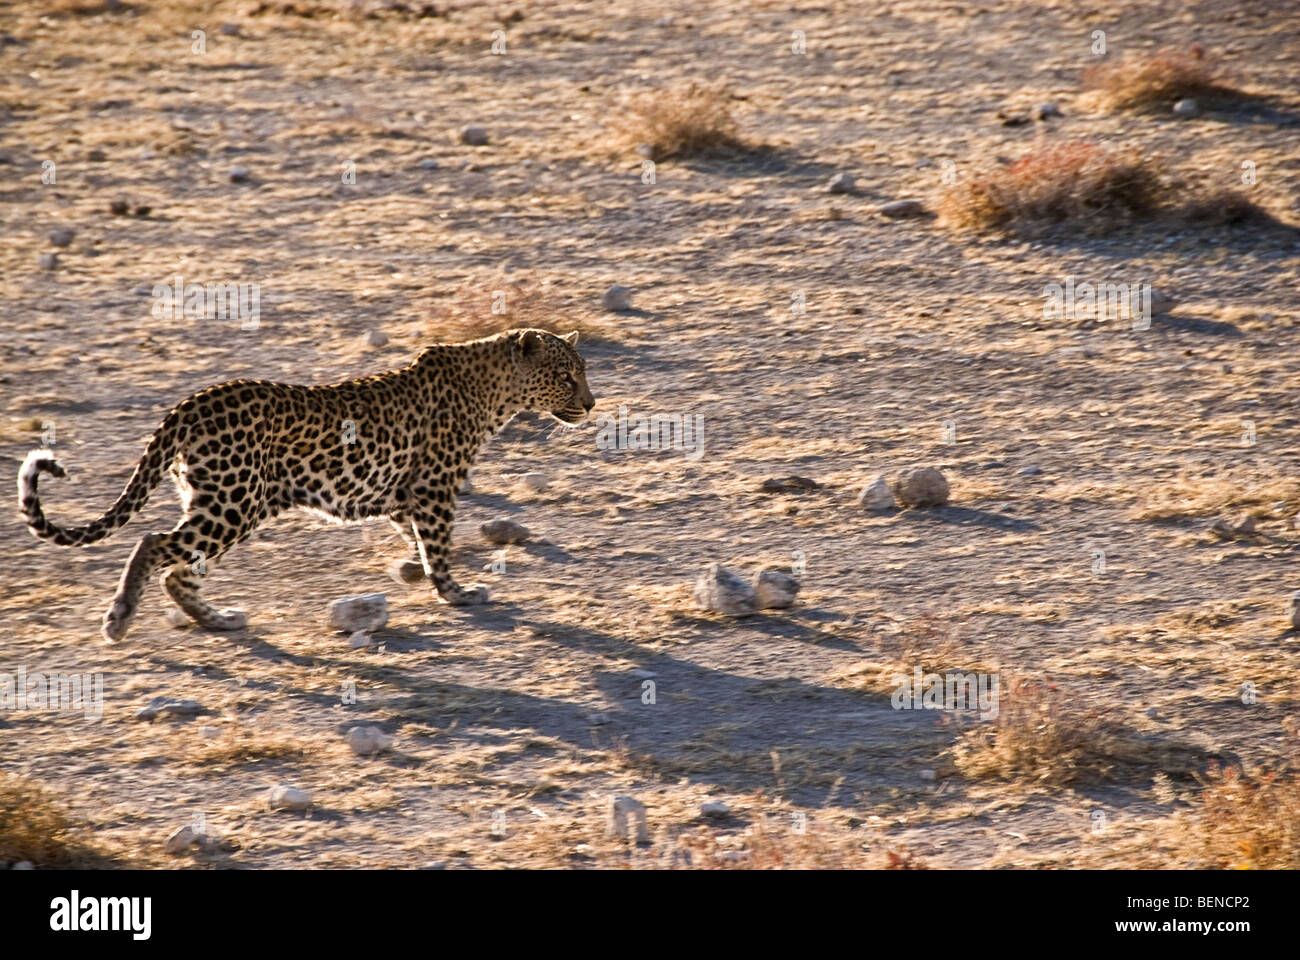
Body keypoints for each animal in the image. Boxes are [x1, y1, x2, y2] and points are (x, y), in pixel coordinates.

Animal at [17, 327, 595, 643]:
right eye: (567, 375)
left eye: (582, 371)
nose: (591, 404)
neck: (496, 391)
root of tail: (190, 403)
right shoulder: (434, 489)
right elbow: (439, 546)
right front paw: (455, 592)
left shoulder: (404, 492)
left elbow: (412, 535)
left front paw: (414, 570)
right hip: (233, 503)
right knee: (154, 544)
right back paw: (119, 619)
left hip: (220, 502)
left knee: (179, 572)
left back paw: (220, 621)